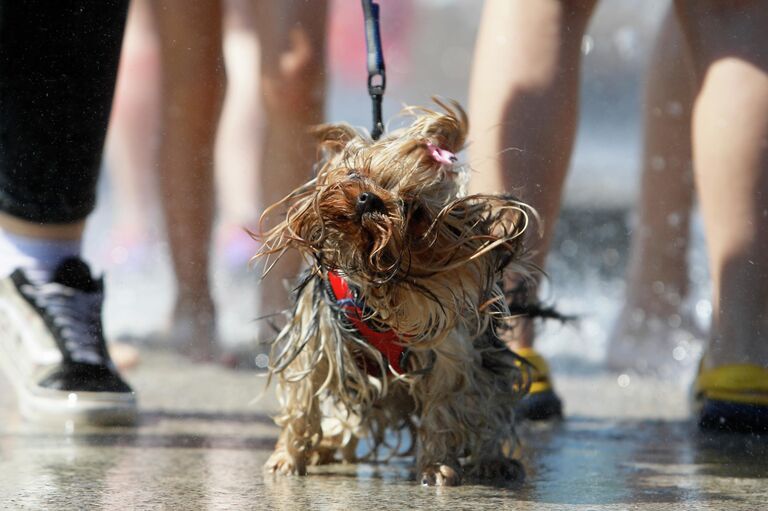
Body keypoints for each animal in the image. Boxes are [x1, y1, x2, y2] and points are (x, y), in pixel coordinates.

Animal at [258, 101, 536, 488]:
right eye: (357, 173)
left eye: (413, 209)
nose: (368, 199)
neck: (373, 283)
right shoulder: (314, 337)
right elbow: (302, 399)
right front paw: (287, 458)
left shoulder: (449, 351)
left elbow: (444, 409)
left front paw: (436, 466)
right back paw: (327, 444)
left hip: (490, 368)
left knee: (489, 407)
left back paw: (493, 461)